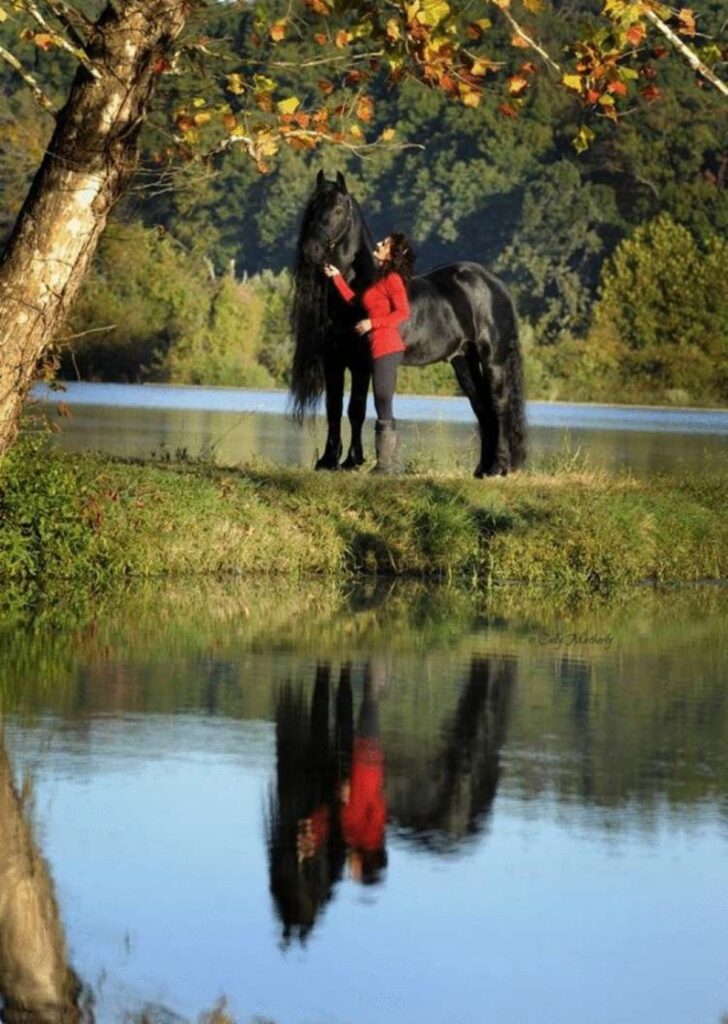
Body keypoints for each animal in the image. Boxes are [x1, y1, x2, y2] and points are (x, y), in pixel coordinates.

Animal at [292, 173, 528, 479]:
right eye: (313, 207)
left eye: (339, 209)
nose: (311, 250)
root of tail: (496, 284)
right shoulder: (333, 361)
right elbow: (334, 408)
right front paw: (328, 460)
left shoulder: (362, 363)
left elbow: (356, 409)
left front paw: (352, 461)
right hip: (463, 361)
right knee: (482, 407)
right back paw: (481, 468)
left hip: (493, 361)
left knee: (499, 406)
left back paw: (498, 467)